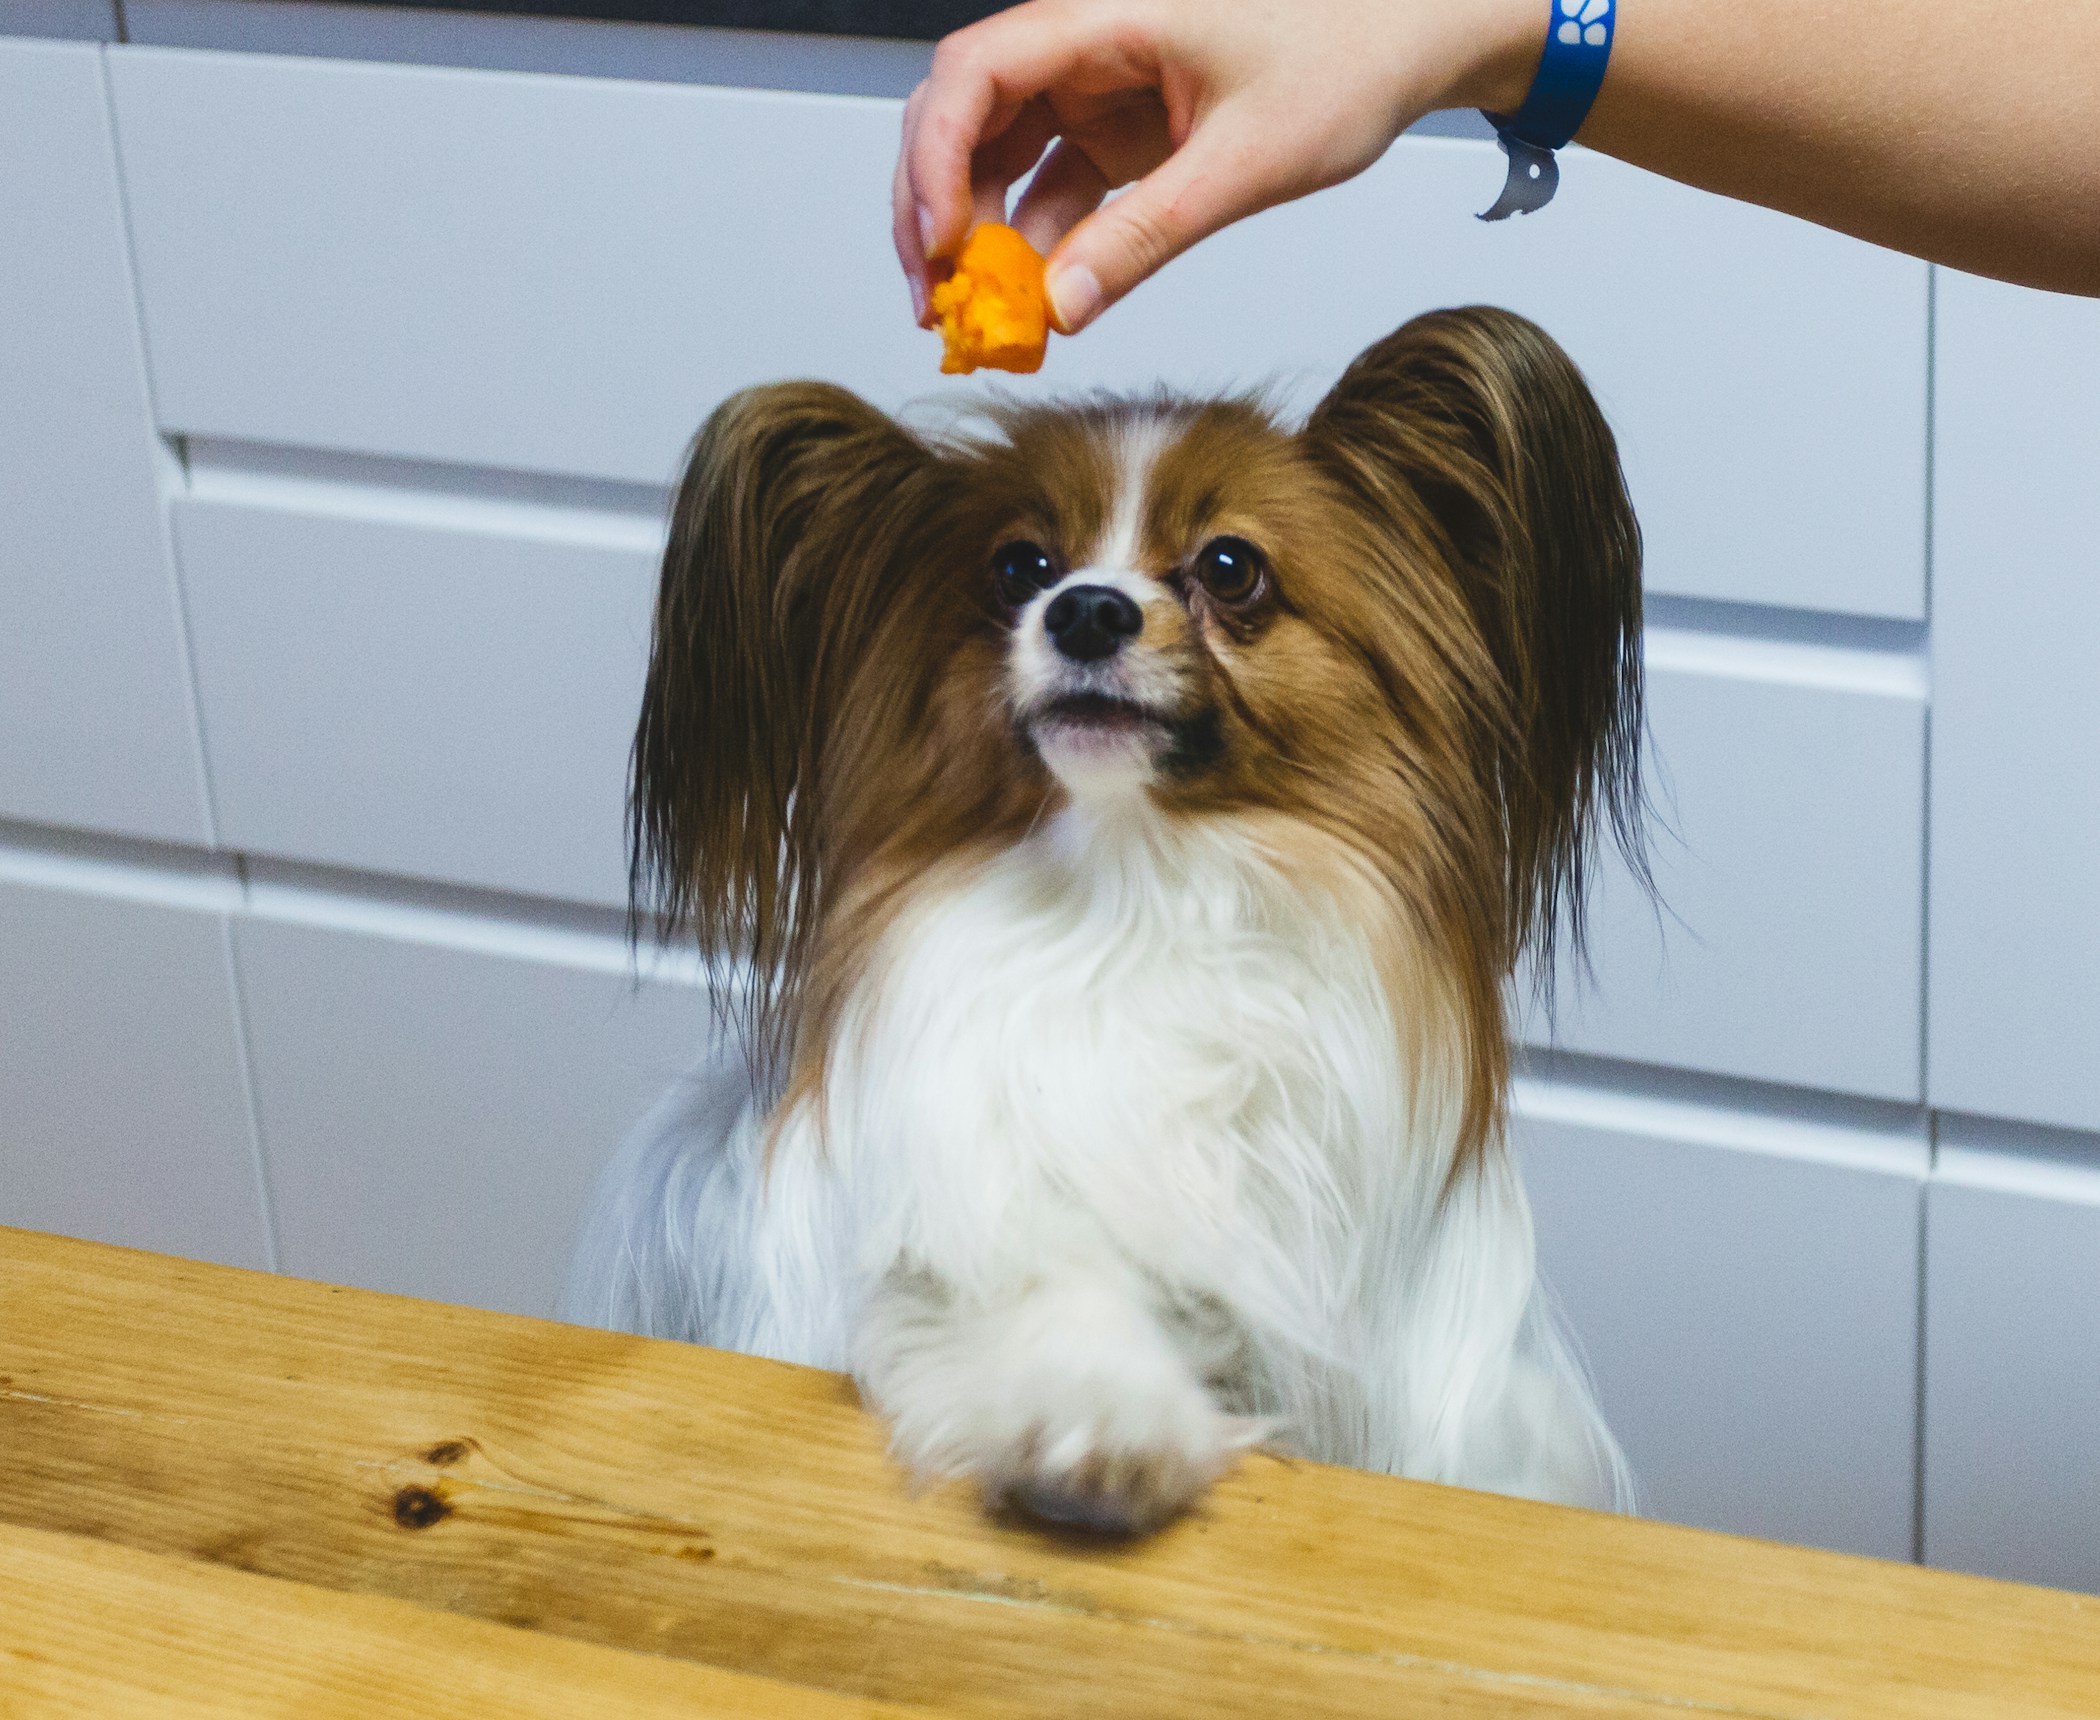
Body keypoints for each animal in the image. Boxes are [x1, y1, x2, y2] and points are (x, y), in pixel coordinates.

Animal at [567, 308, 1646, 1537]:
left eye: (1230, 565)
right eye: (1019, 567)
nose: (1087, 607)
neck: (1142, 899)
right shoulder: (973, 1210)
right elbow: (1039, 1287)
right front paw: (1105, 1421)